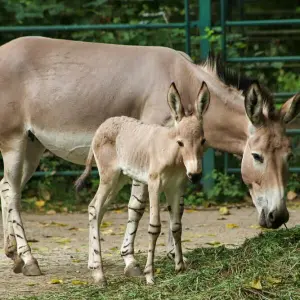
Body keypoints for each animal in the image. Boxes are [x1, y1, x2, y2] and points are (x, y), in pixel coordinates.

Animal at [76, 81, 210, 286]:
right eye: (180, 142)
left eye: (202, 141)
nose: (195, 175)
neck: (170, 152)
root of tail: (102, 126)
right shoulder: (155, 185)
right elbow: (155, 227)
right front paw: (150, 275)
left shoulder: (176, 187)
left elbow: (176, 226)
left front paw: (180, 267)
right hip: (108, 177)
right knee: (94, 208)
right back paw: (99, 274)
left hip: (119, 180)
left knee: (97, 210)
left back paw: (92, 266)